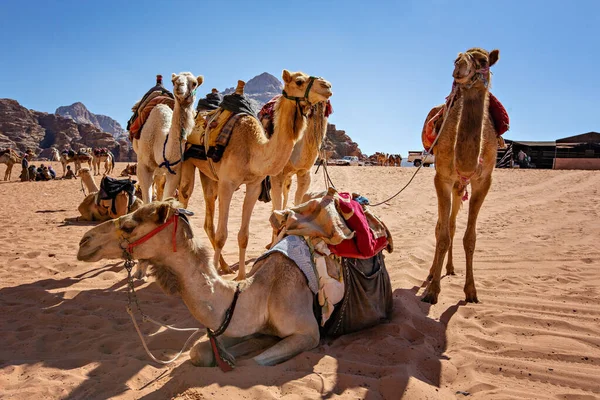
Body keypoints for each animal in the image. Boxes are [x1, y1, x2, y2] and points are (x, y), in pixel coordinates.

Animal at [79, 200, 324, 366]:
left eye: (129, 227)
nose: (84, 242)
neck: (262, 293)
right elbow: (199, 351)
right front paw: (231, 354)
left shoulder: (309, 334)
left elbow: (255, 362)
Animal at [178, 71, 332, 282]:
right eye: (299, 81)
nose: (327, 86)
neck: (252, 148)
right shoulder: (228, 183)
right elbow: (222, 235)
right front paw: (216, 277)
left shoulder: (254, 185)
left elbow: (244, 236)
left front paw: (242, 275)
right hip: (188, 163)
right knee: (184, 199)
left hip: (209, 175)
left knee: (208, 219)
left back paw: (225, 266)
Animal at [422, 47, 502, 304]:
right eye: (457, 56)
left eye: (483, 61)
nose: (459, 65)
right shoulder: (442, 178)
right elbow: (442, 235)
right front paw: (432, 291)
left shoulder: (483, 181)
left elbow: (470, 237)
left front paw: (471, 291)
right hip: (452, 184)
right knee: (442, 226)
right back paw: (432, 273)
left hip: (460, 187)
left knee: (453, 224)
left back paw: (449, 268)